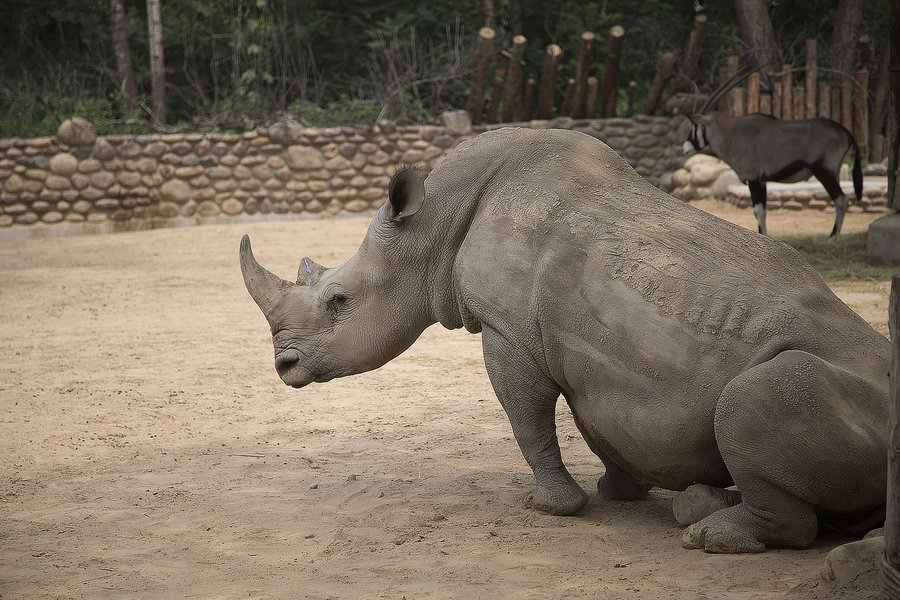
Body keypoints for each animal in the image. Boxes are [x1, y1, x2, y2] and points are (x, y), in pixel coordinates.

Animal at [684, 72, 864, 239]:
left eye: (695, 126)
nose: (685, 148)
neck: (733, 135)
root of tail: (845, 132)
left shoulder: (754, 179)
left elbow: (758, 211)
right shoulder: (762, 181)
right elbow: (762, 211)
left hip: (823, 170)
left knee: (841, 200)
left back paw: (832, 238)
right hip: (834, 171)